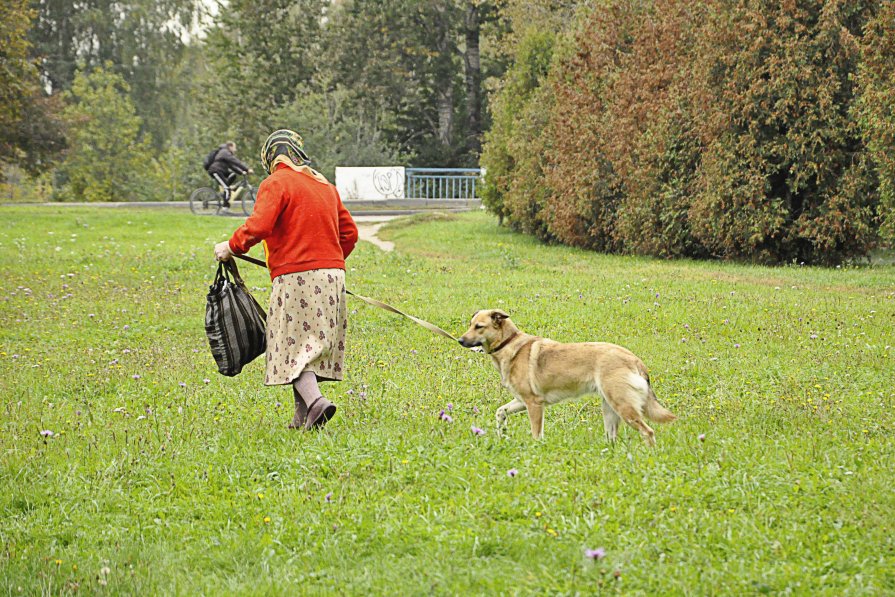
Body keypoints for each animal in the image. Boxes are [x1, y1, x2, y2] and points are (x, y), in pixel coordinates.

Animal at [458, 312, 676, 442]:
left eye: (479, 326)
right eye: (470, 324)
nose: (460, 340)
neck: (508, 343)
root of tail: (634, 359)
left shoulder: (534, 404)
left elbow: (537, 434)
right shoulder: (521, 401)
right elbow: (500, 412)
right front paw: (501, 434)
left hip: (623, 407)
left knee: (648, 432)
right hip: (610, 410)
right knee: (612, 437)